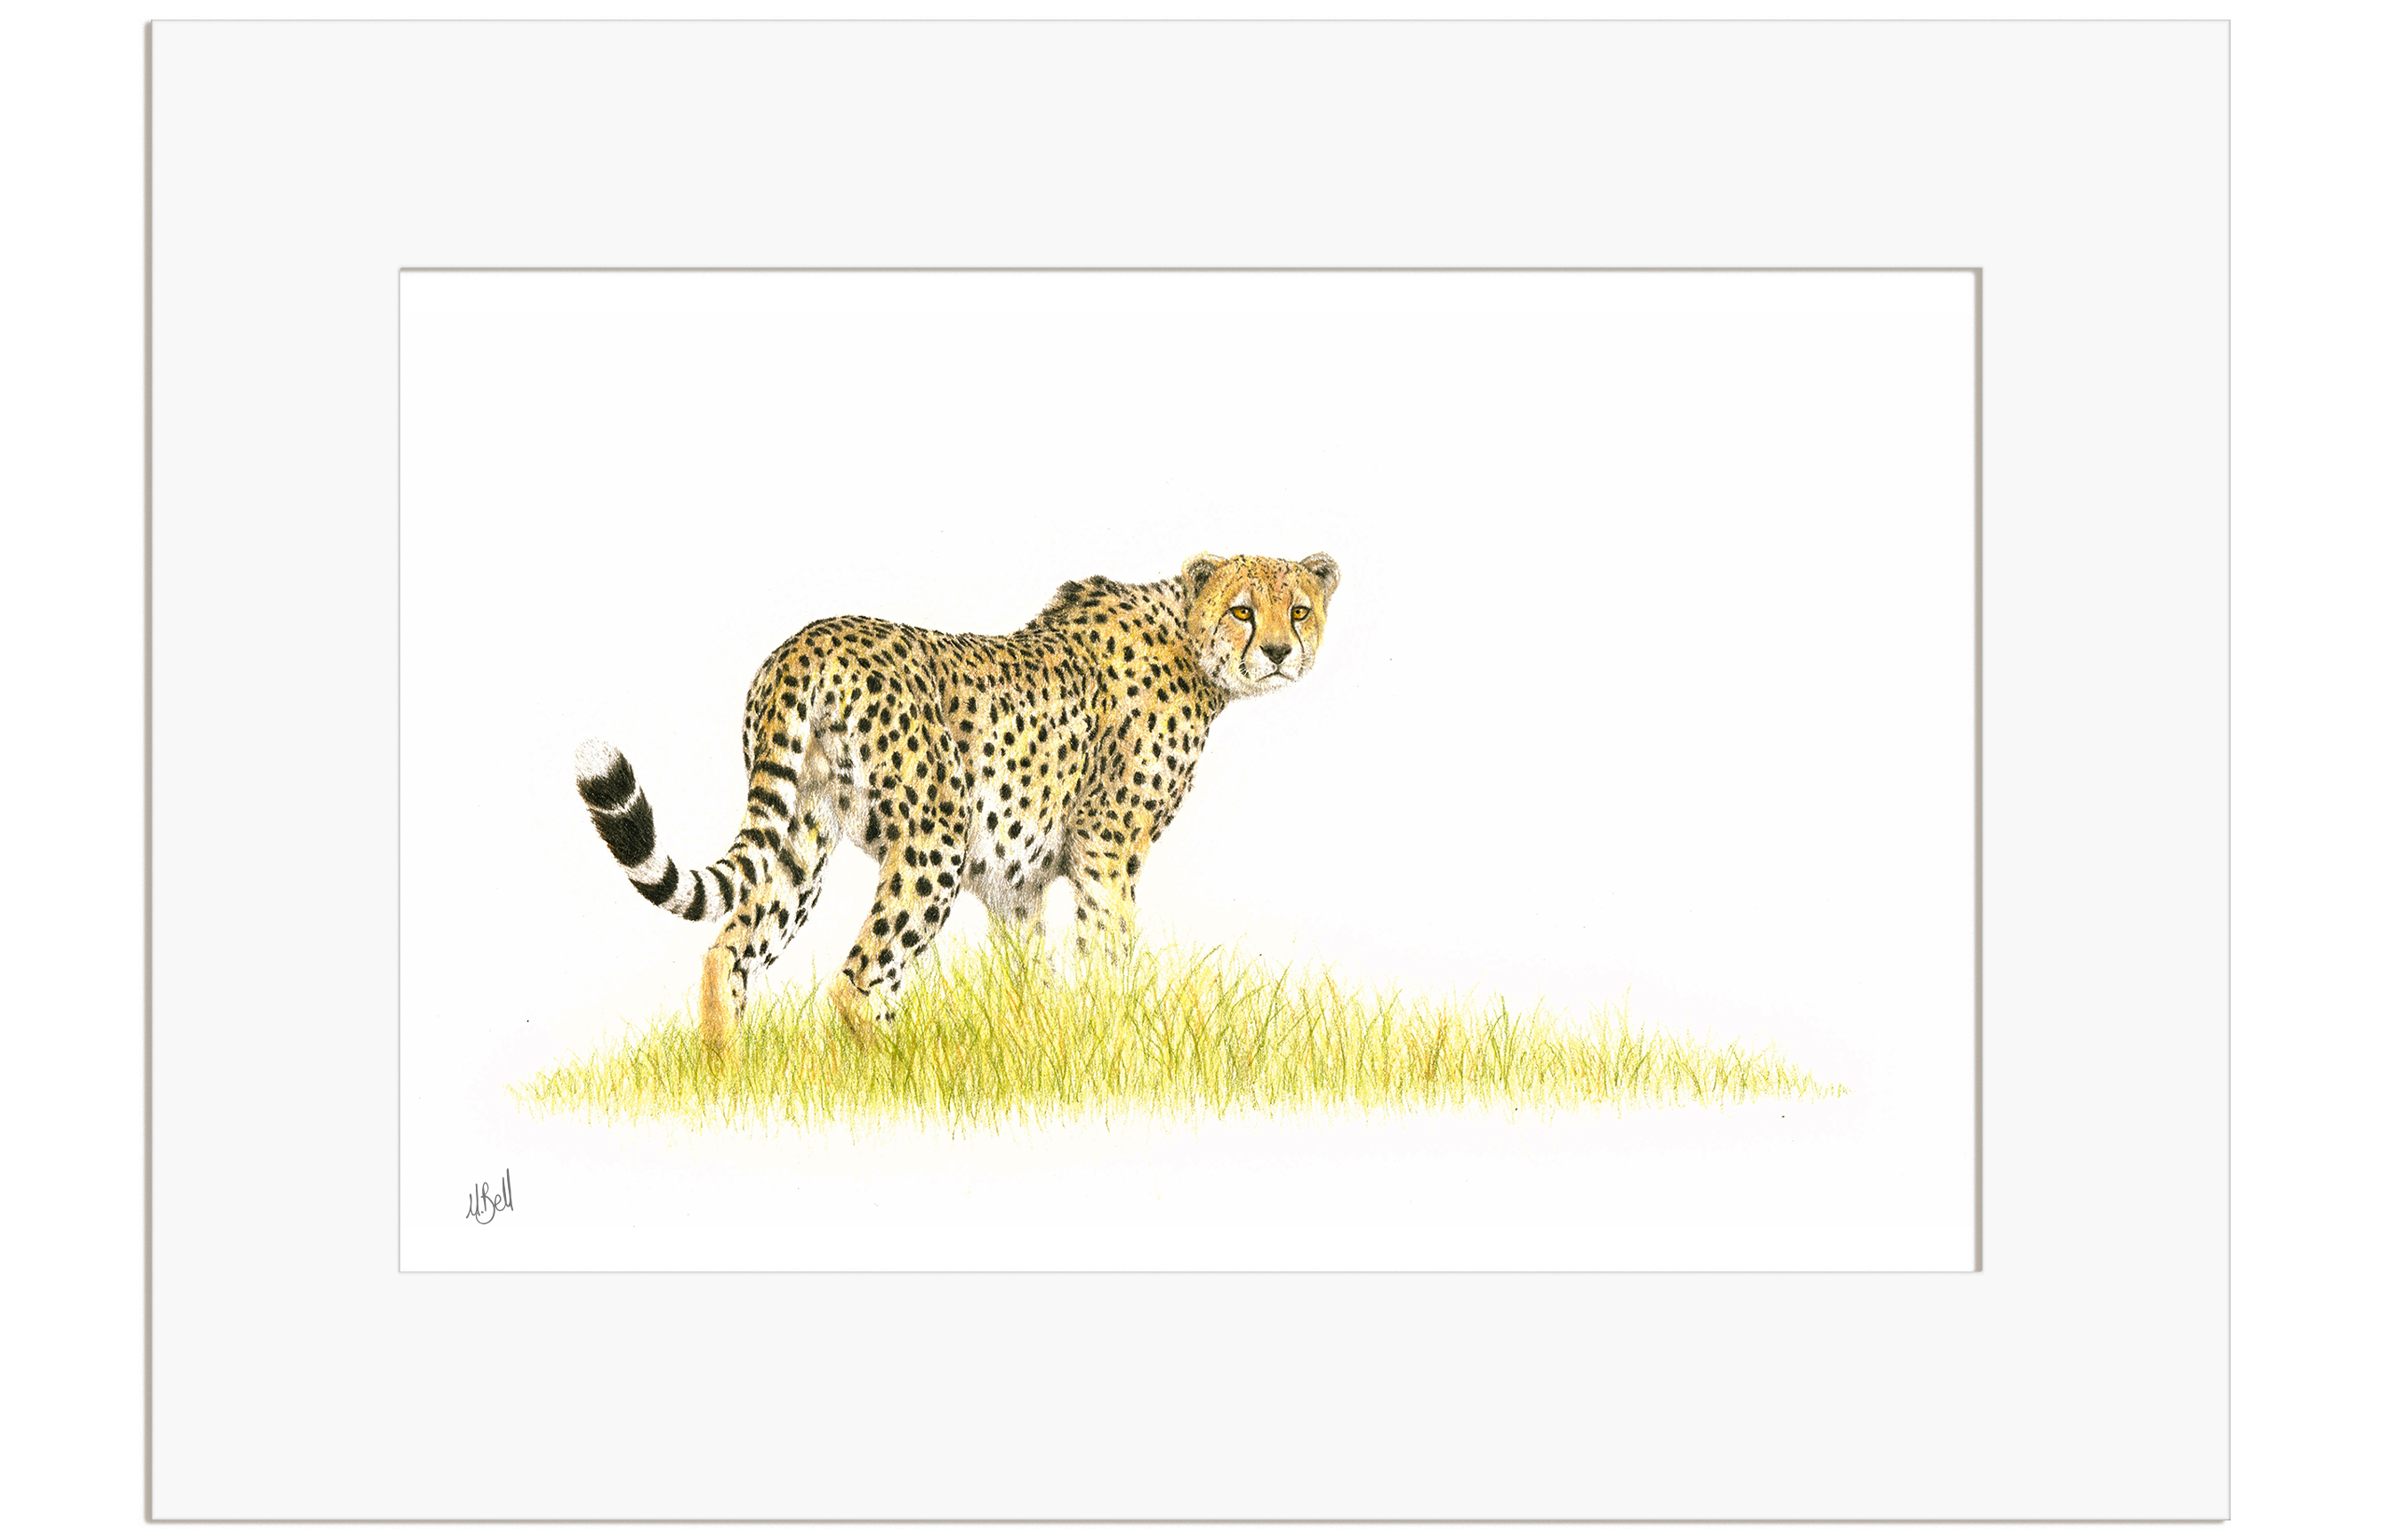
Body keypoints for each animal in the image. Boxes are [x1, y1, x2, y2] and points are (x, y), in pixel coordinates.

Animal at [574, 550, 1341, 1049]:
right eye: (1242, 611)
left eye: (1299, 610)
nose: (1279, 651)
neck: (1188, 634)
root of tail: (809, 641)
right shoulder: (1106, 847)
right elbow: (1110, 950)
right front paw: (1118, 1030)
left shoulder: (1018, 882)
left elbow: (1029, 975)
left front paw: (1039, 1042)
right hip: (933, 838)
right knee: (858, 980)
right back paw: (900, 1073)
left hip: (801, 835)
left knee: (727, 953)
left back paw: (728, 1080)